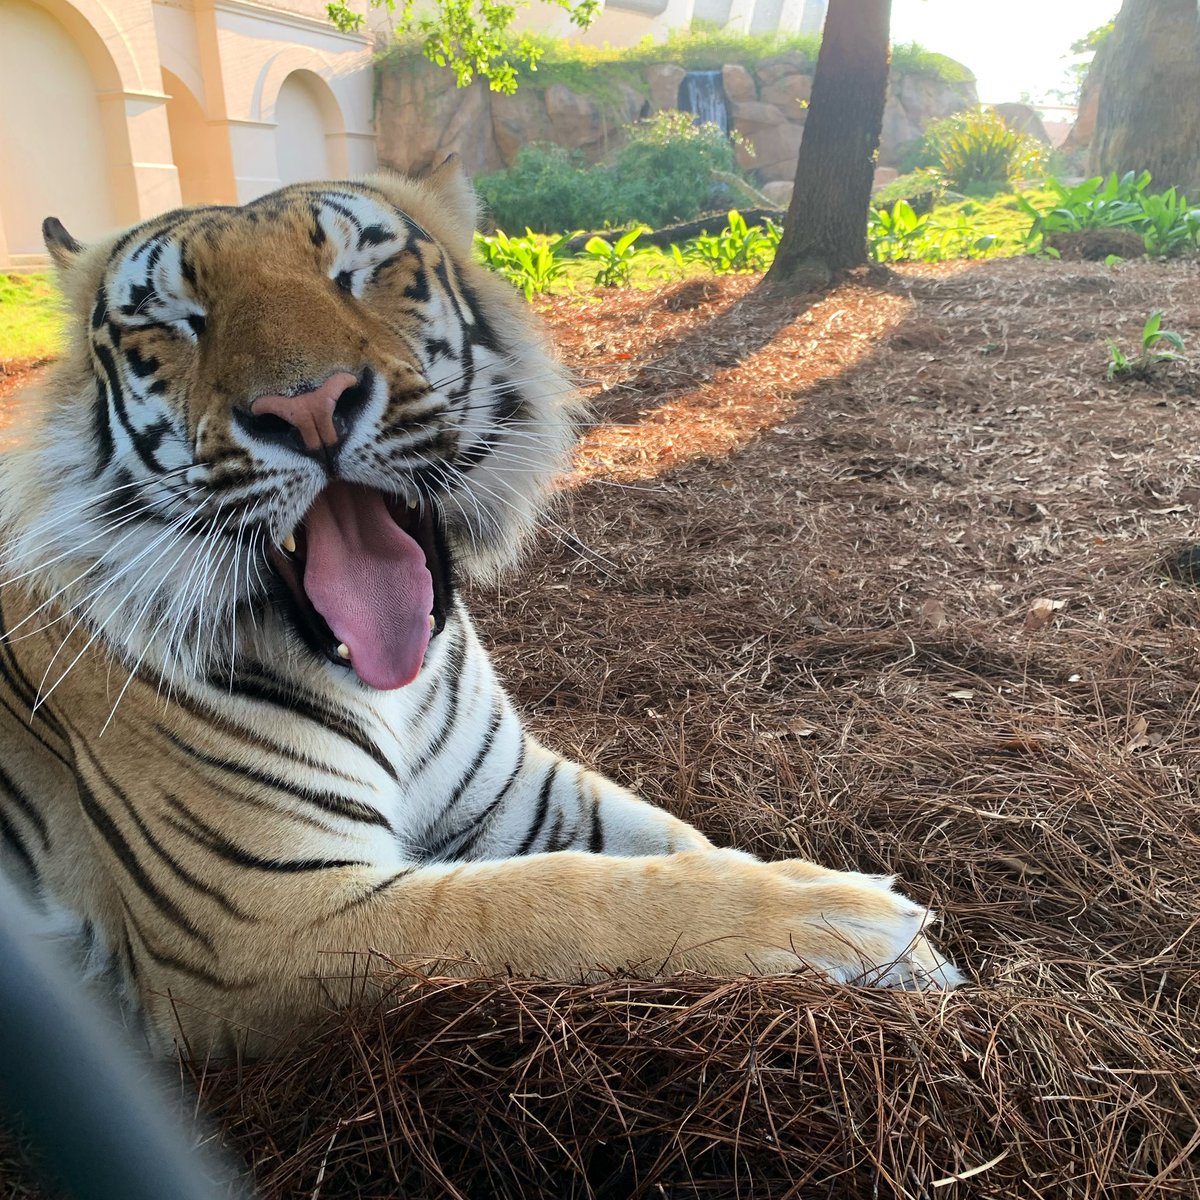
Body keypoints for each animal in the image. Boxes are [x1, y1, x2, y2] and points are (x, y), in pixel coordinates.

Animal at [0, 164, 964, 1055]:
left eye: (358, 270)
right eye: (174, 319)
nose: (305, 407)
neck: (397, 691)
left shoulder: (521, 792)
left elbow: (673, 843)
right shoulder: (262, 919)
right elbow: (560, 899)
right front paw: (848, 918)